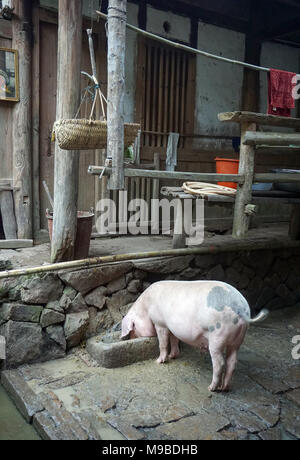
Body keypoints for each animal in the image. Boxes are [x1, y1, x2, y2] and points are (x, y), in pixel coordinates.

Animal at [120, 280, 268, 392]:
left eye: (133, 329)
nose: (130, 338)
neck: (145, 308)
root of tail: (241, 310)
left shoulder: (160, 323)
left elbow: (163, 342)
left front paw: (159, 361)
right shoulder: (172, 326)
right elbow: (174, 340)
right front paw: (173, 356)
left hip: (217, 337)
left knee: (220, 363)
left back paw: (211, 388)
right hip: (237, 340)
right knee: (232, 362)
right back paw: (225, 388)